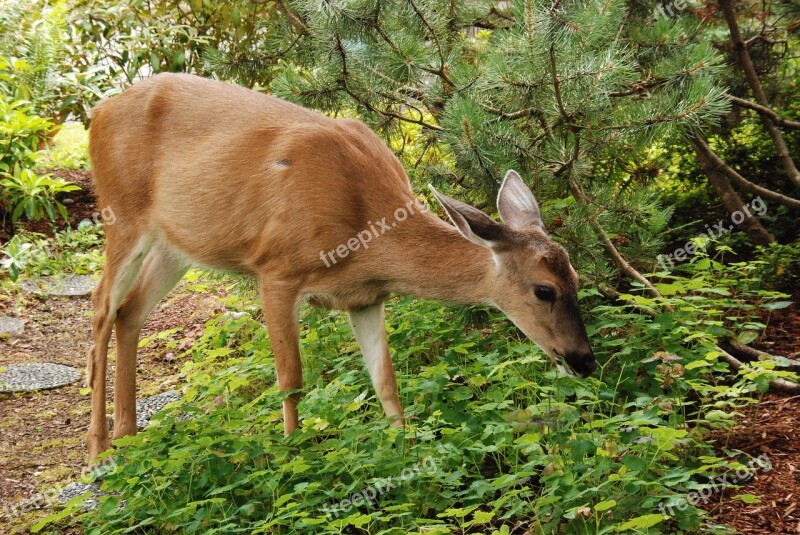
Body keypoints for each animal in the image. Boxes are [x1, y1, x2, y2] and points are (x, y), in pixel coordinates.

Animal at [86, 73, 592, 462]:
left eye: (577, 279)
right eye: (544, 290)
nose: (584, 361)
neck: (365, 229)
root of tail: (98, 110)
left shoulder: (365, 297)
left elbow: (386, 380)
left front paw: (405, 447)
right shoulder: (276, 269)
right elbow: (291, 380)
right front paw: (293, 453)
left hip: (175, 245)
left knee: (130, 311)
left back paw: (129, 436)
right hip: (121, 213)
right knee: (101, 307)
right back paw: (99, 450)